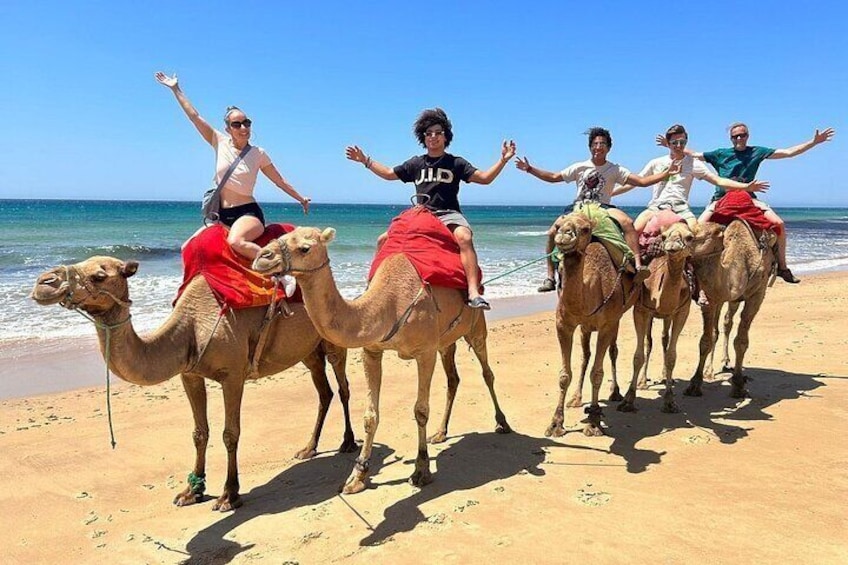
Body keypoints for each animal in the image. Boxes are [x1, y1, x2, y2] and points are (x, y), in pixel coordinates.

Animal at [29, 256, 354, 512]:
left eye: (99, 275)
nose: (44, 282)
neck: (192, 327)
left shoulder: (233, 375)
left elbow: (230, 434)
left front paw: (228, 495)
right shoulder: (190, 374)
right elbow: (199, 433)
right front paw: (192, 491)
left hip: (332, 340)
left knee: (342, 387)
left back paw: (347, 443)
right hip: (308, 351)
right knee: (323, 391)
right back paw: (308, 449)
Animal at [252, 228, 510, 494]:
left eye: (305, 248)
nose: (262, 256)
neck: (390, 304)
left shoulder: (425, 351)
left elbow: (420, 410)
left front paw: (421, 470)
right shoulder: (372, 351)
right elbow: (370, 415)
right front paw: (357, 476)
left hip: (476, 328)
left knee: (487, 372)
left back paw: (502, 423)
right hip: (446, 341)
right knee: (453, 379)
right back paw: (440, 433)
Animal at [548, 212, 640, 436]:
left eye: (585, 229)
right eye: (557, 225)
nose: (565, 234)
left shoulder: (607, 324)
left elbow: (597, 373)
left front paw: (594, 421)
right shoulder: (564, 324)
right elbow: (564, 375)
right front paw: (556, 424)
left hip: (617, 317)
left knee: (613, 351)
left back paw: (616, 393)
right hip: (586, 328)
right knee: (586, 356)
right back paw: (576, 398)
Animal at [616, 223, 696, 412]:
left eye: (690, 237)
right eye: (664, 236)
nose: (673, 246)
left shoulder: (682, 311)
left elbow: (672, 356)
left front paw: (669, 400)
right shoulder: (641, 310)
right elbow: (638, 356)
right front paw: (628, 400)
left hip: (667, 317)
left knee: (664, 338)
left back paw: (666, 377)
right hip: (651, 316)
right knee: (649, 342)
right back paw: (643, 382)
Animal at [684, 220, 780, 396]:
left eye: (691, 236)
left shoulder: (757, 295)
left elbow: (741, 341)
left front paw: (738, 384)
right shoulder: (712, 298)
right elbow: (706, 340)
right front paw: (695, 383)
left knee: (729, 322)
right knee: (724, 324)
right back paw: (714, 368)